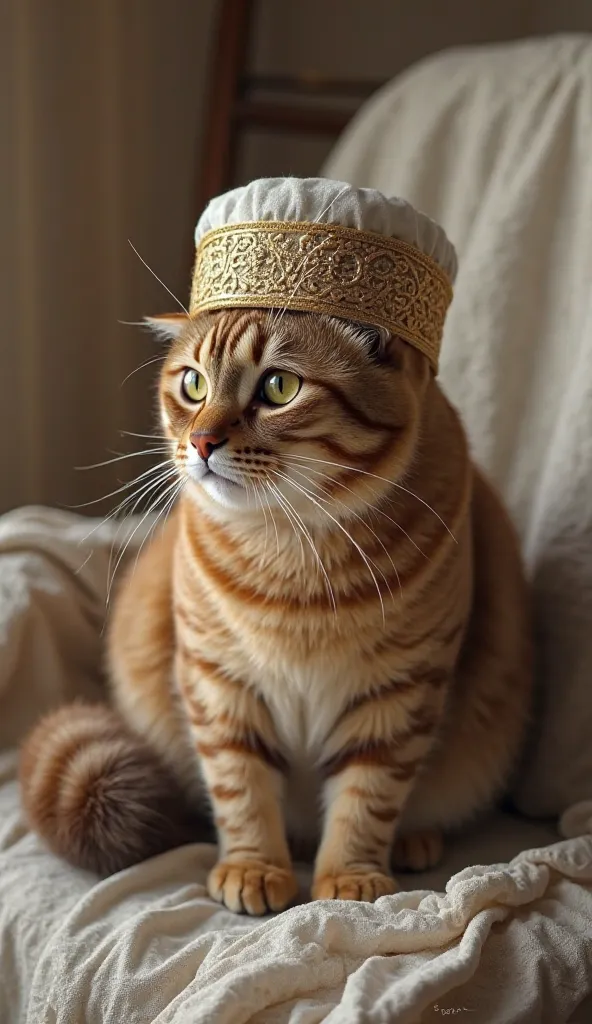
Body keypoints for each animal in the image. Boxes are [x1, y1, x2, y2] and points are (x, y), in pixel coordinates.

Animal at [21, 309, 528, 913]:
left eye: (279, 387)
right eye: (193, 385)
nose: (201, 441)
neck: (292, 551)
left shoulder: (400, 692)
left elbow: (367, 798)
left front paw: (350, 876)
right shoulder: (218, 681)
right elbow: (240, 788)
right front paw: (254, 867)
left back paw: (411, 840)